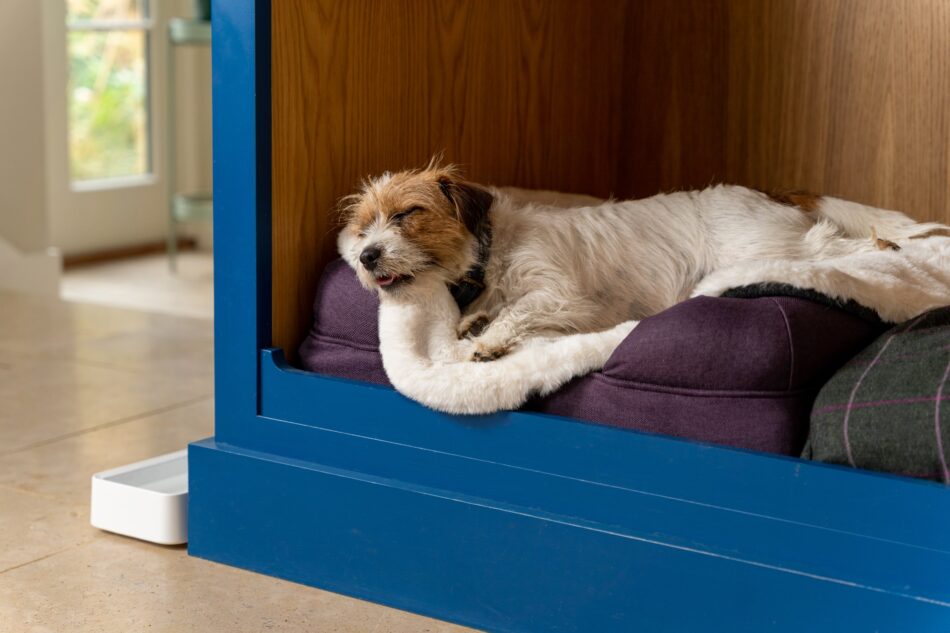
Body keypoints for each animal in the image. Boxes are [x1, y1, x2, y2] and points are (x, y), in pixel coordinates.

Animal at [338, 160, 948, 362]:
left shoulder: (559, 294)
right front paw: (474, 321)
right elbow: (492, 309)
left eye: (407, 214)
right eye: (363, 226)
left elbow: (520, 311)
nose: (365, 256)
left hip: (771, 250)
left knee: (845, 246)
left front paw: (486, 341)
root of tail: (768, 192)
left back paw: (892, 249)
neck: (492, 251)